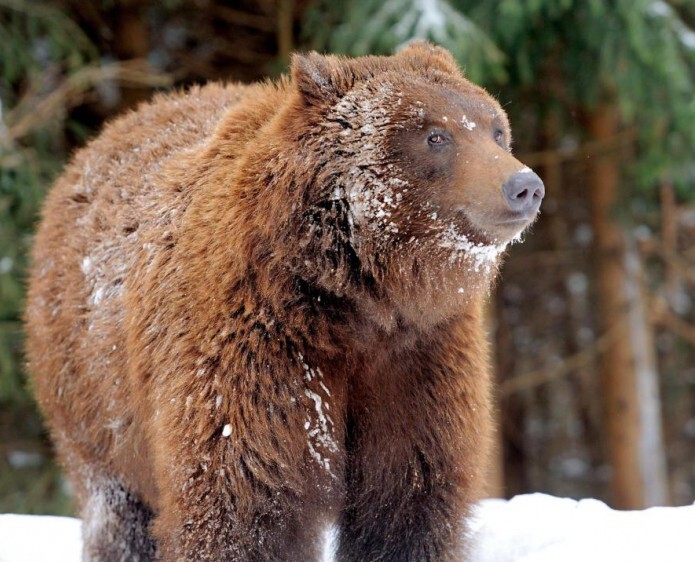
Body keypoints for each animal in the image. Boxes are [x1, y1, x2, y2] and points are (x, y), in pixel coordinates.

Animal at [25, 43, 544, 560]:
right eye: (436, 135)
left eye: (496, 129)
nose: (524, 185)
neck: (359, 303)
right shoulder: (256, 355)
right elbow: (242, 507)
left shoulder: (417, 361)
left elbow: (408, 505)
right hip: (93, 400)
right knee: (117, 514)